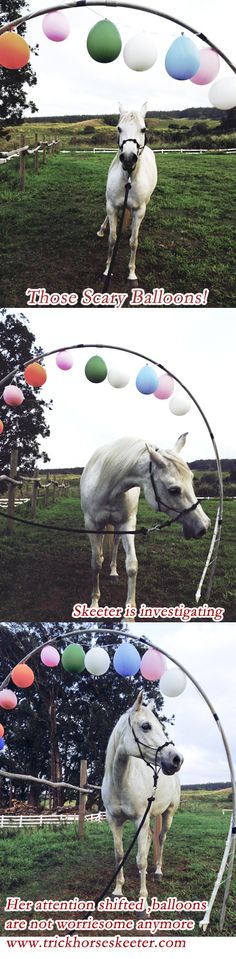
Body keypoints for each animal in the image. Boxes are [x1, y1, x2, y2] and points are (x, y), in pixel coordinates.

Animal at [79, 434, 210, 608]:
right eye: (173, 490)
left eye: (191, 479)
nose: (204, 526)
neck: (108, 486)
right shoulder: (91, 524)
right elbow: (95, 564)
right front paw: (94, 602)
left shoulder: (127, 524)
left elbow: (132, 565)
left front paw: (130, 609)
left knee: (115, 543)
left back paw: (113, 571)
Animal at [97, 103, 158, 282]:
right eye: (119, 128)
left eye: (143, 129)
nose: (129, 159)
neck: (128, 179)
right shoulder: (111, 206)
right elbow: (112, 239)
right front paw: (107, 269)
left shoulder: (139, 210)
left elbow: (133, 242)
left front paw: (131, 273)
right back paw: (102, 229)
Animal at [101, 688, 183, 900]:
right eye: (146, 726)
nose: (177, 759)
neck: (121, 782)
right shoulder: (114, 821)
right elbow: (119, 855)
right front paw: (118, 890)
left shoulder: (140, 820)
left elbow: (141, 860)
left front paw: (143, 898)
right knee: (149, 839)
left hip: (168, 813)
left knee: (161, 838)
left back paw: (158, 871)